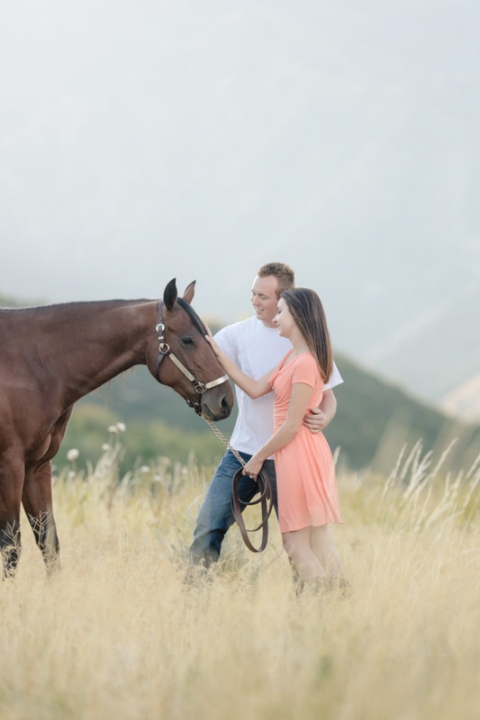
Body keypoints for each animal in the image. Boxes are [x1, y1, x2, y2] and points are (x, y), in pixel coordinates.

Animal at [0, 278, 234, 577]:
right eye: (187, 339)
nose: (225, 400)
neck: (31, 364)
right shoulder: (10, 466)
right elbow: (11, 547)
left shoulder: (36, 467)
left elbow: (48, 544)